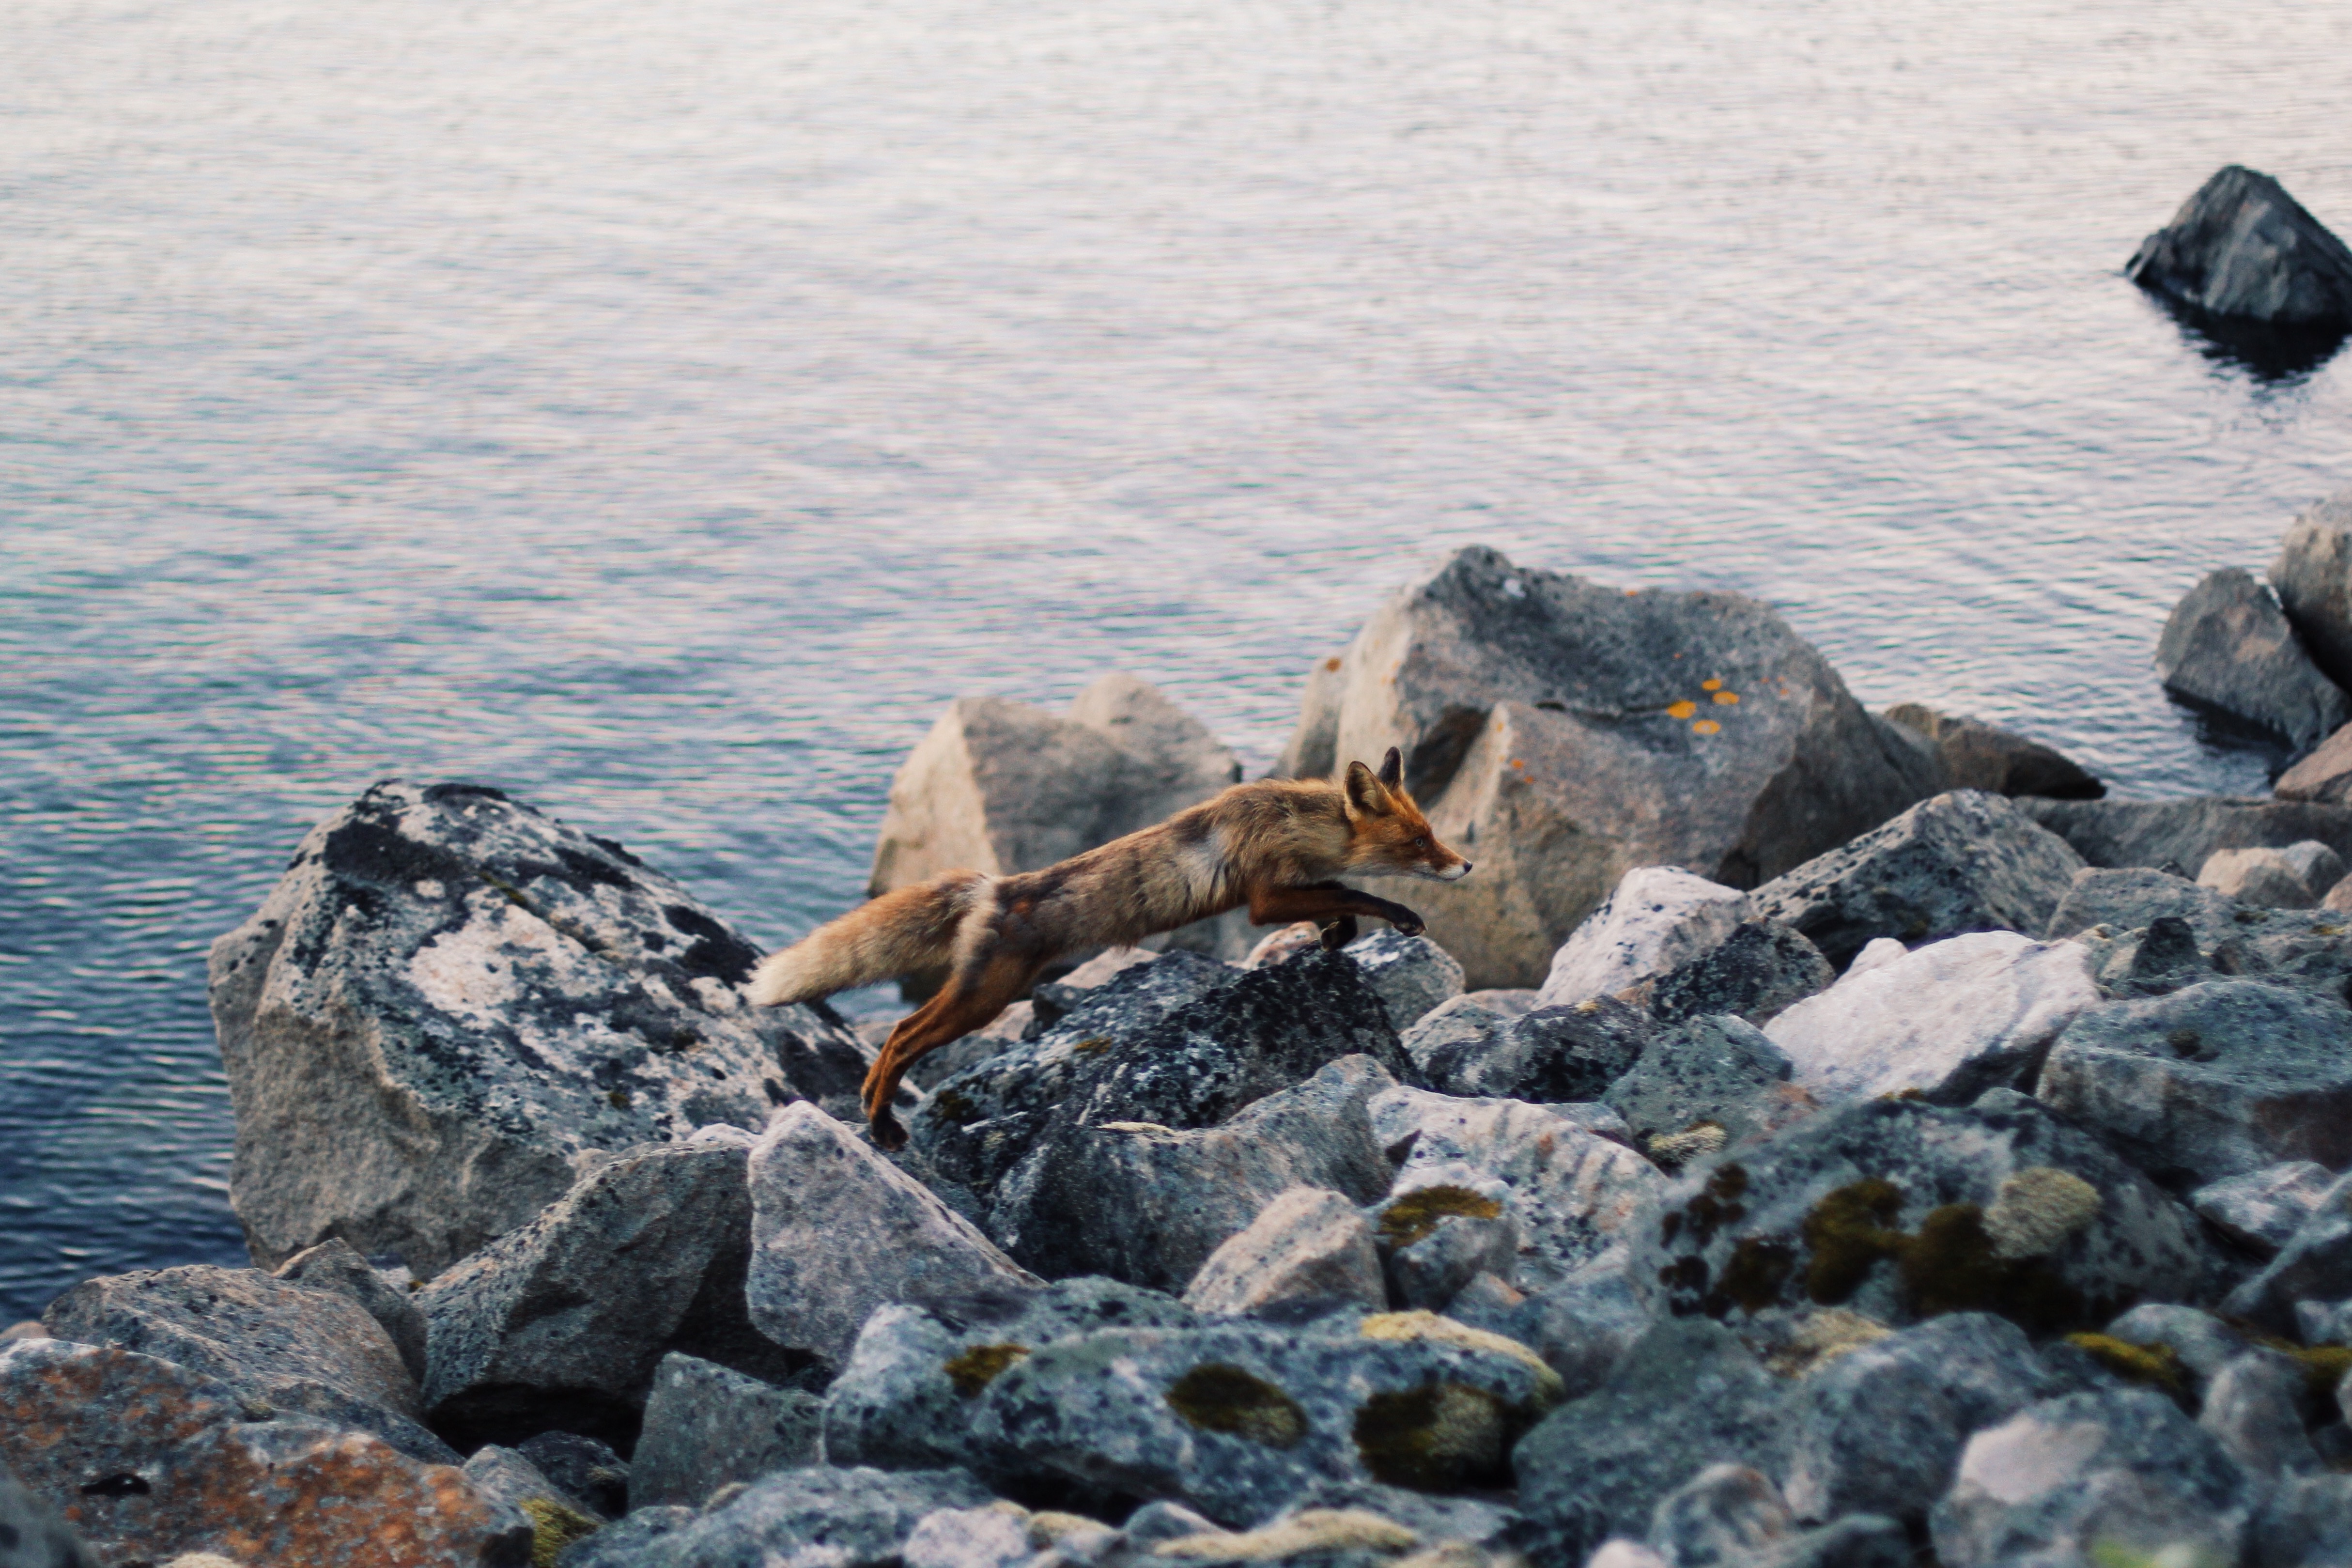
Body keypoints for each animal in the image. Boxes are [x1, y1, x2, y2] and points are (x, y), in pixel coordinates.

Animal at [752, 747, 1468, 1152]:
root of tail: (993, 888)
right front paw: (1397, 916)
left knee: (899, 1035)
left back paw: (874, 1118)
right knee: (901, 1036)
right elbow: (1354, 891)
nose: (1465, 866)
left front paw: (1337, 936)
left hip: (978, 996)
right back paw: (879, 1123)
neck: (1293, 822)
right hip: (984, 999)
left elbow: (1339, 897)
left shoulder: (1288, 887)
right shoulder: (1264, 896)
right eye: (1419, 841)